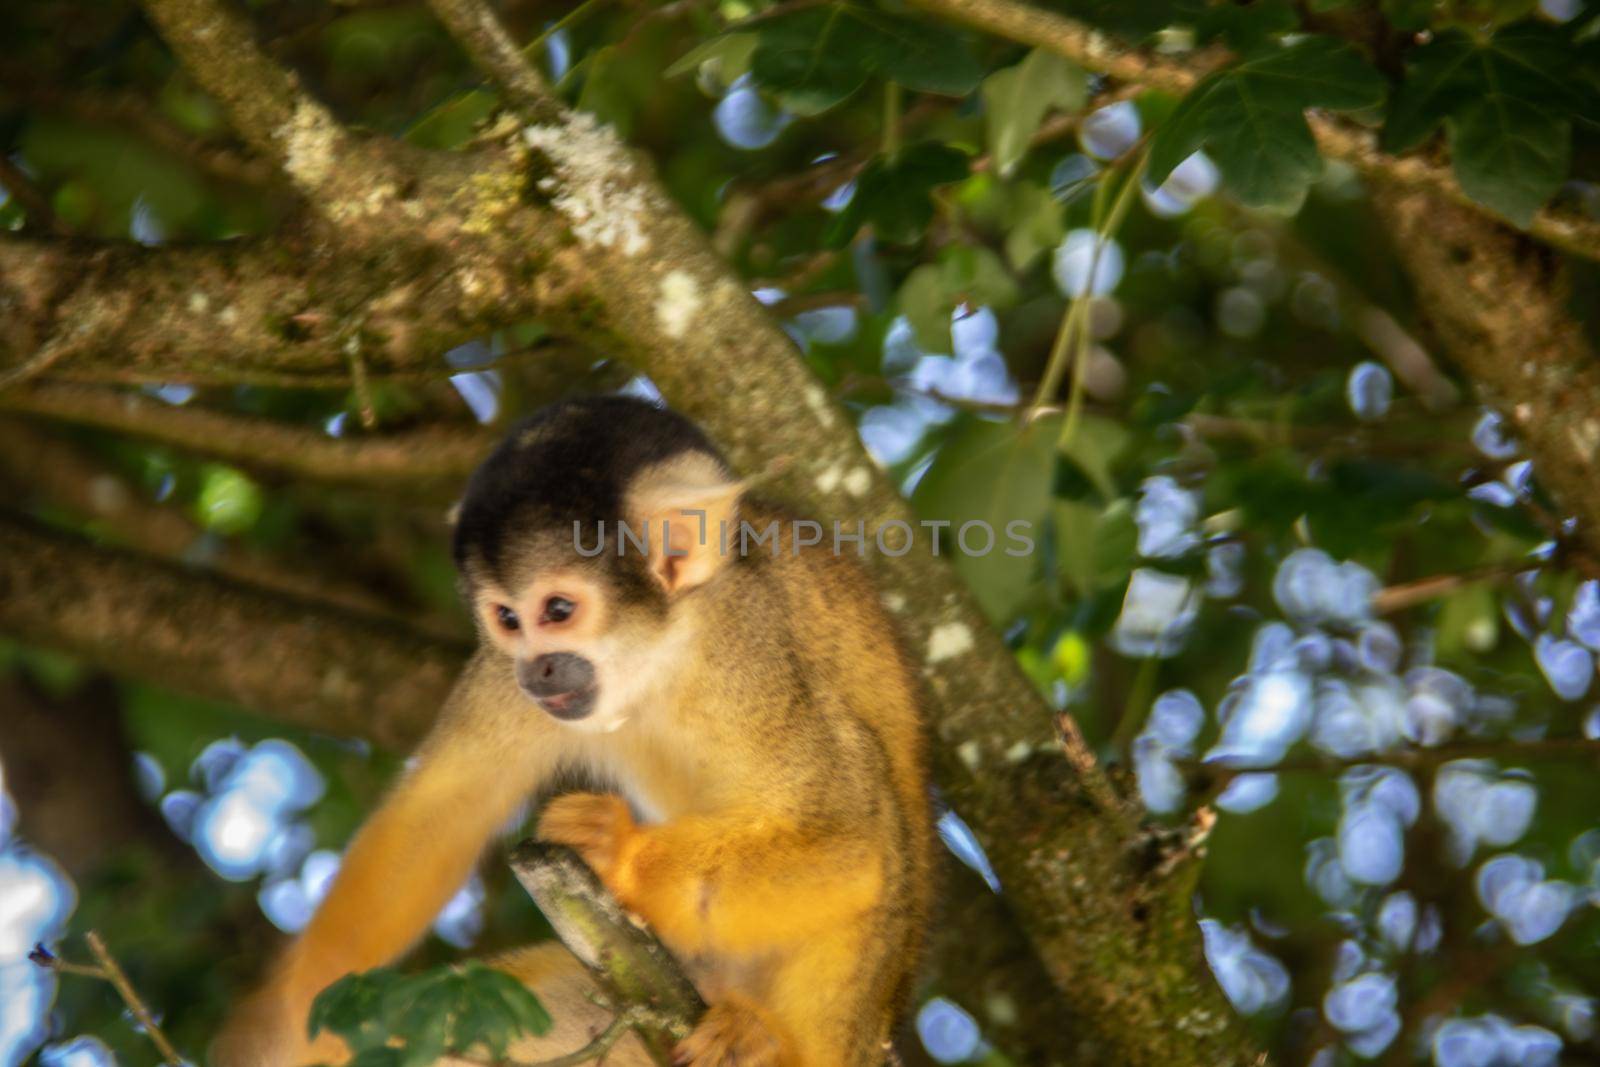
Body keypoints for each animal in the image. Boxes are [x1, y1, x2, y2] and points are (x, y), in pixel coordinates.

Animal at [216, 396, 934, 1062]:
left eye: (558, 610)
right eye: (507, 619)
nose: (537, 669)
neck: (661, 656)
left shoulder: (750, 648)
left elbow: (851, 837)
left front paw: (620, 853)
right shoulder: (499, 673)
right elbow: (443, 806)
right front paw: (302, 1012)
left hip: (849, 1027)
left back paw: (765, 1040)